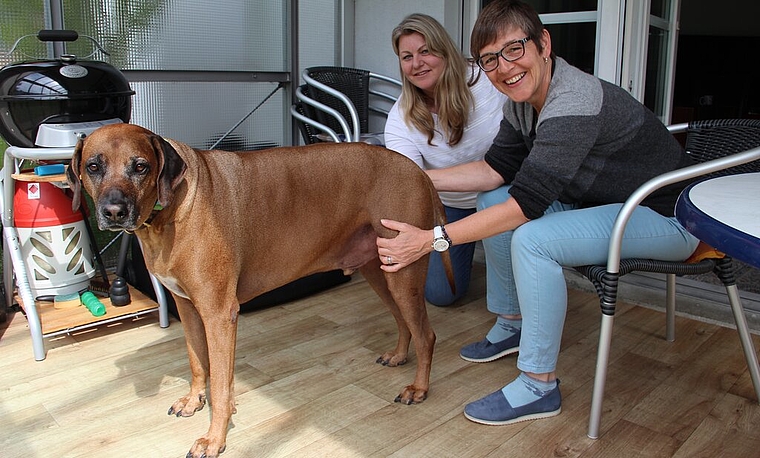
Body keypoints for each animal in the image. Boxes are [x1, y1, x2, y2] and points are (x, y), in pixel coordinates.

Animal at [67, 122, 452, 458]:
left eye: (141, 166)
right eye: (93, 166)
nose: (114, 212)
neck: (170, 210)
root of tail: (418, 171)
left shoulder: (219, 314)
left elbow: (222, 386)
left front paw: (214, 439)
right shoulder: (187, 308)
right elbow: (197, 363)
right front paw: (194, 400)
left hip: (403, 273)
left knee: (427, 334)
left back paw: (419, 388)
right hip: (382, 270)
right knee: (404, 321)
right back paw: (399, 355)